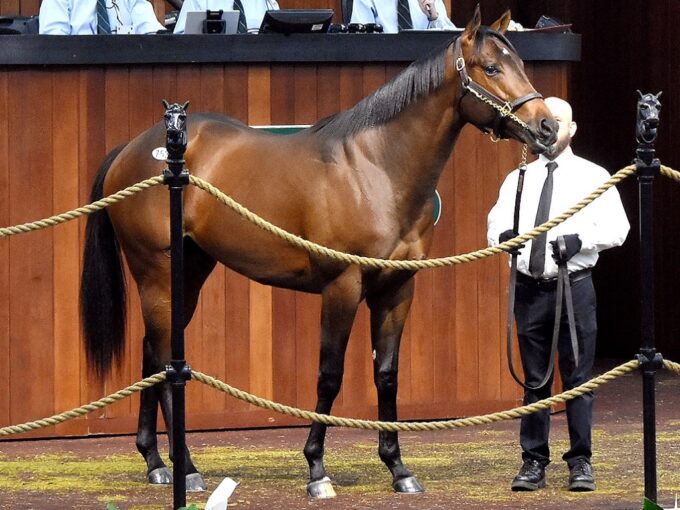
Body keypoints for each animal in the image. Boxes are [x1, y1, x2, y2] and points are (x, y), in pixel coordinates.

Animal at [79, 4, 556, 498]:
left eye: (521, 64)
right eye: (492, 68)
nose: (548, 127)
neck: (377, 168)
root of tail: (133, 148)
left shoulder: (397, 290)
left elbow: (387, 375)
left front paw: (398, 467)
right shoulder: (341, 287)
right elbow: (330, 375)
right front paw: (316, 470)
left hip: (188, 274)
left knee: (154, 354)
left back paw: (156, 461)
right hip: (156, 273)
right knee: (164, 360)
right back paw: (186, 468)